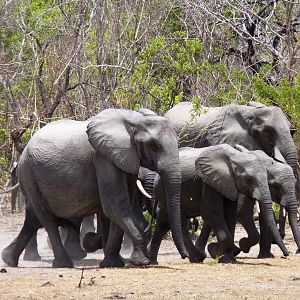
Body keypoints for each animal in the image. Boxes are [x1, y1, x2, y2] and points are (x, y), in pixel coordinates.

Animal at [1, 108, 188, 268]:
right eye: (154, 146)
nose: (184, 256)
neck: (133, 120)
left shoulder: (124, 160)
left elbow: (125, 207)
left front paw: (113, 262)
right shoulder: (103, 157)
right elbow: (116, 206)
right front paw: (140, 262)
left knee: (34, 217)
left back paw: (9, 259)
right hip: (28, 173)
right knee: (46, 218)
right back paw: (64, 263)